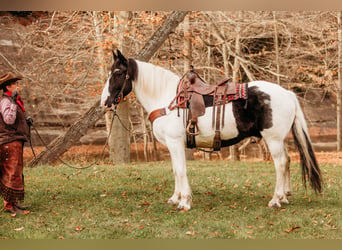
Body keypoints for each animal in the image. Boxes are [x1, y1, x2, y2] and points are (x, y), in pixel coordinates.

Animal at [100, 49, 322, 211]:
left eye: (118, 73)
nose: (105, 102)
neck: (167, 99)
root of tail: (287, 93)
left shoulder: (175, 142)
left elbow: (181, 170)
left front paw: (184, 202)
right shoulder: (173, 145)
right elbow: (175, 170)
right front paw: (175, 198)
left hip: (273, 139)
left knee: (281, 163)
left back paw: (275, 199)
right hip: (278, 140)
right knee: (288, 161)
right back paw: (284, 197)